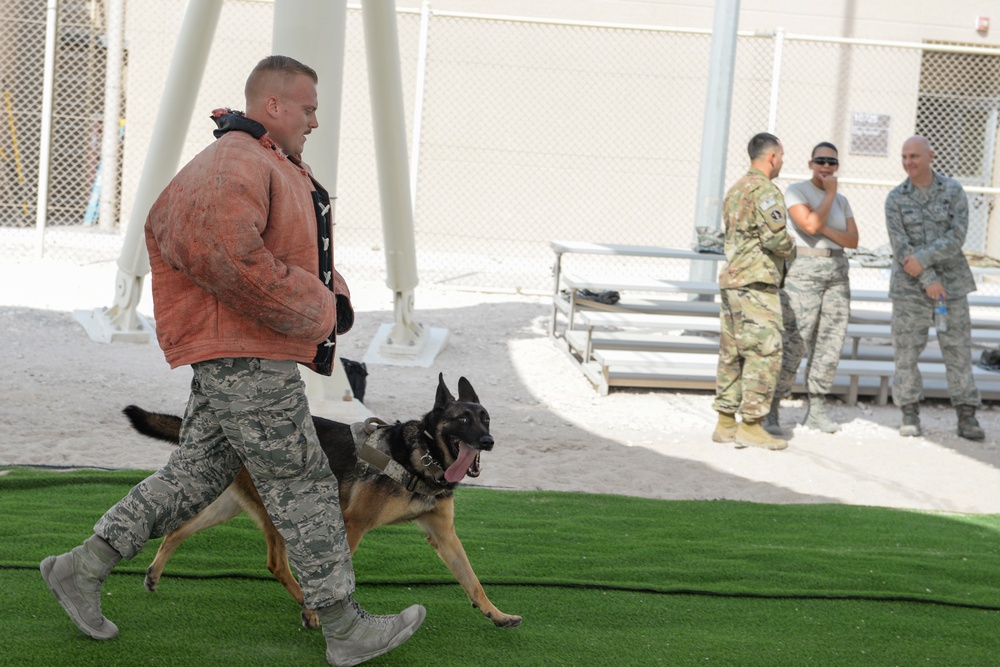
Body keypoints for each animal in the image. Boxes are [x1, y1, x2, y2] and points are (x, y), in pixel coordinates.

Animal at [125, 376, 524, 632]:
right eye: (462, 419)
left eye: (486, 418)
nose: (487, 441)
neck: (422, 455)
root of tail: (231, 436)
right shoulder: (352, 523)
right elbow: (337, 575)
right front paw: (328, 611)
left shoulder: (443, 535)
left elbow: (472, 580)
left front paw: (497, 614)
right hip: (286, 511)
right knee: (276, 563)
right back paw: (308, 607)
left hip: (230, 507)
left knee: (178, 529)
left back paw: (154, 573)